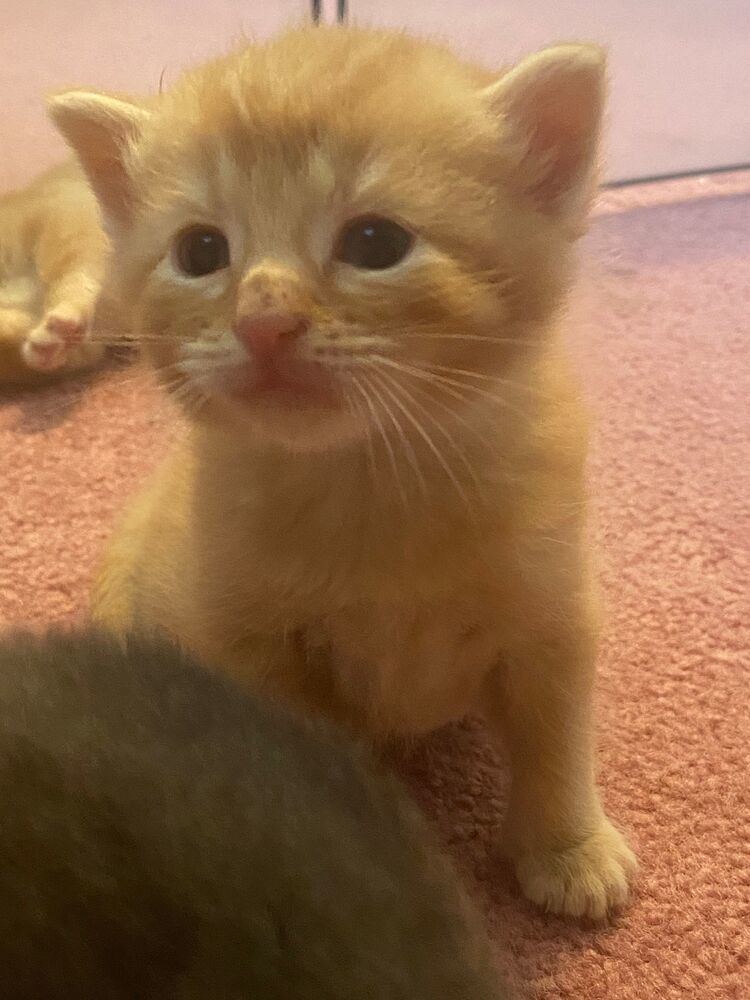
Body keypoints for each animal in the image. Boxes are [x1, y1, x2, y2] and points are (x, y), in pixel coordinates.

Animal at [53, 23, 636, 916]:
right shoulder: (242, 636)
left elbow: (556, 737)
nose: (264, 321)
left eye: (375, 244)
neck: (368, 475)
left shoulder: (554, 610)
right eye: (201, 251)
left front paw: (569, 849)